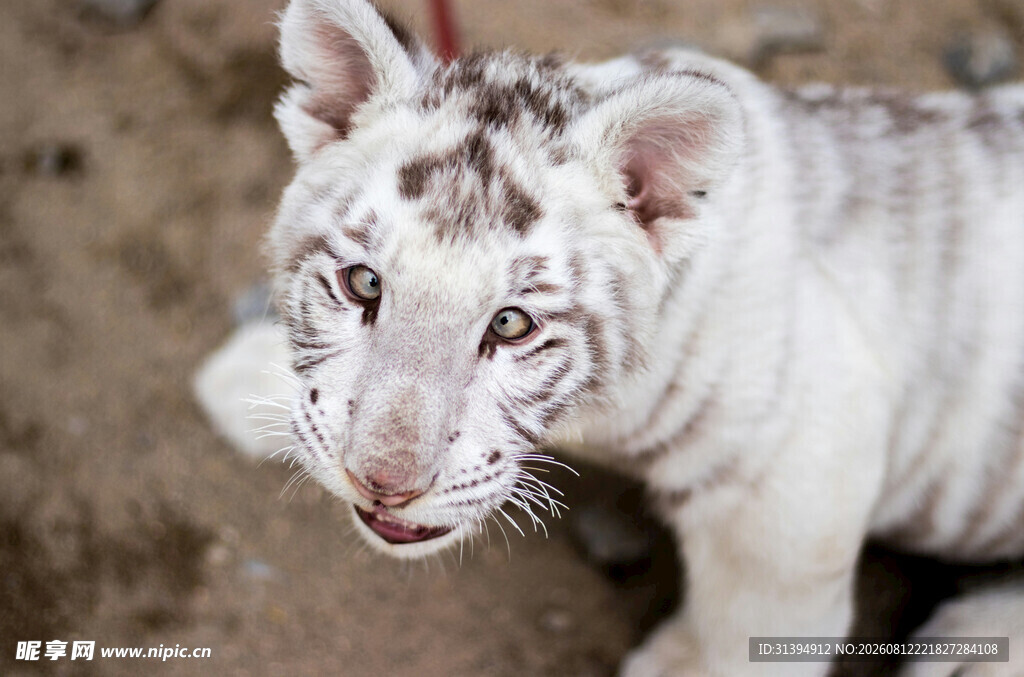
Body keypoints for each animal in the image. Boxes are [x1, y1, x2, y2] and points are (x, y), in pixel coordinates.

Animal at [195, 0, 1024, 674]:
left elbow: (749, 628)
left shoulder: (794, 476)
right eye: (365, 284)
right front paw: (242, 379)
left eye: (511, 323)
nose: (382, 482)